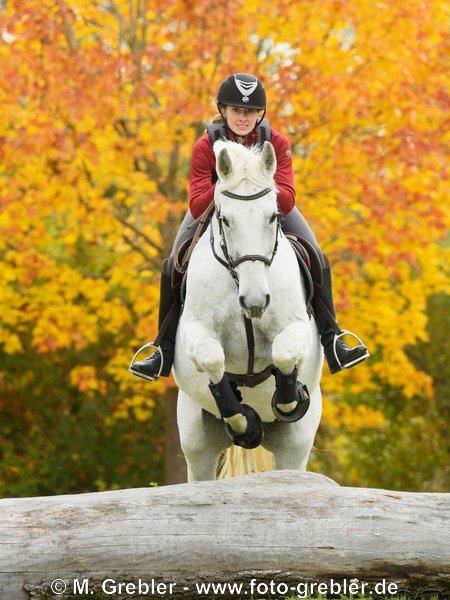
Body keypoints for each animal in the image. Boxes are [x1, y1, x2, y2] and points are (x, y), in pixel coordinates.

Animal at [172, 141, 324, 482]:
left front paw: (288, 398)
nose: (255, 301)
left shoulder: (297, 328)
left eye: (273, 216)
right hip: (195, 439)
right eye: (225, 219)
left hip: (296, 445)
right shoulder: (195, 329)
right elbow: (213, 361)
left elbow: (284, 354)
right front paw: (243, 422)